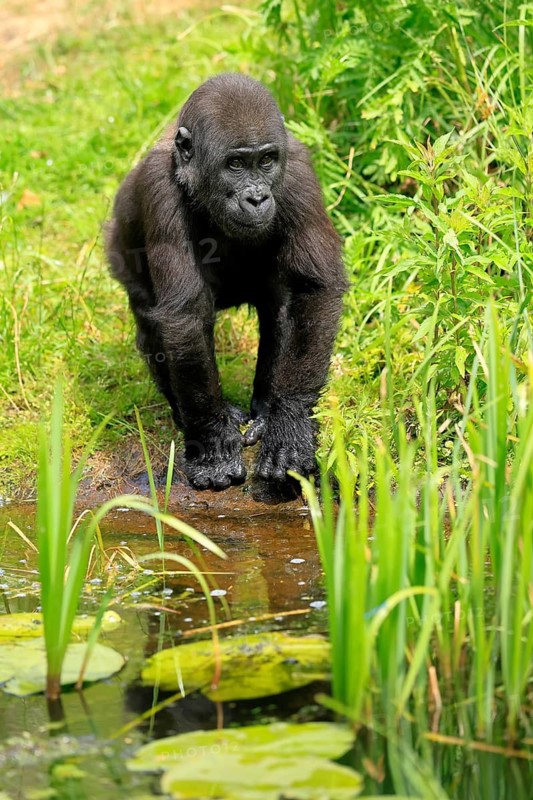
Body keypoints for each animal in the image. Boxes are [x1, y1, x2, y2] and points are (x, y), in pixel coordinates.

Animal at [106, 72, 347, 492]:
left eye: (266, 161)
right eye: (234, 164)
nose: (257, 198)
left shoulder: (298, 173)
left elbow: (314, 289)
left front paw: (290, 426)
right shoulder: (159, 190)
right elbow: (184, 317)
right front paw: (211, 441)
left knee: (281, 306)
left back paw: (267, 410)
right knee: (153, 322)